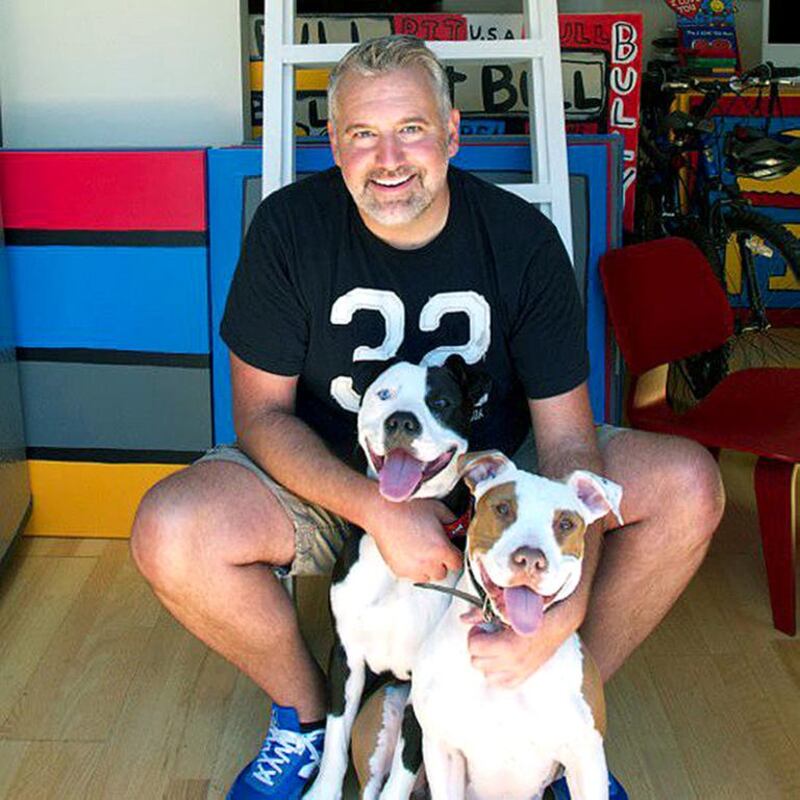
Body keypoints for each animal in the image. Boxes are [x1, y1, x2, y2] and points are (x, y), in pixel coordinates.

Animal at [304, 356, 488, 800]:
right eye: (384, 394)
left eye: (440, 402)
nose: (402, 421)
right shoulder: (346, 657)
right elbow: (334, 738)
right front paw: (323, 790)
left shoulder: (429, 684)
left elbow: (407, 763)